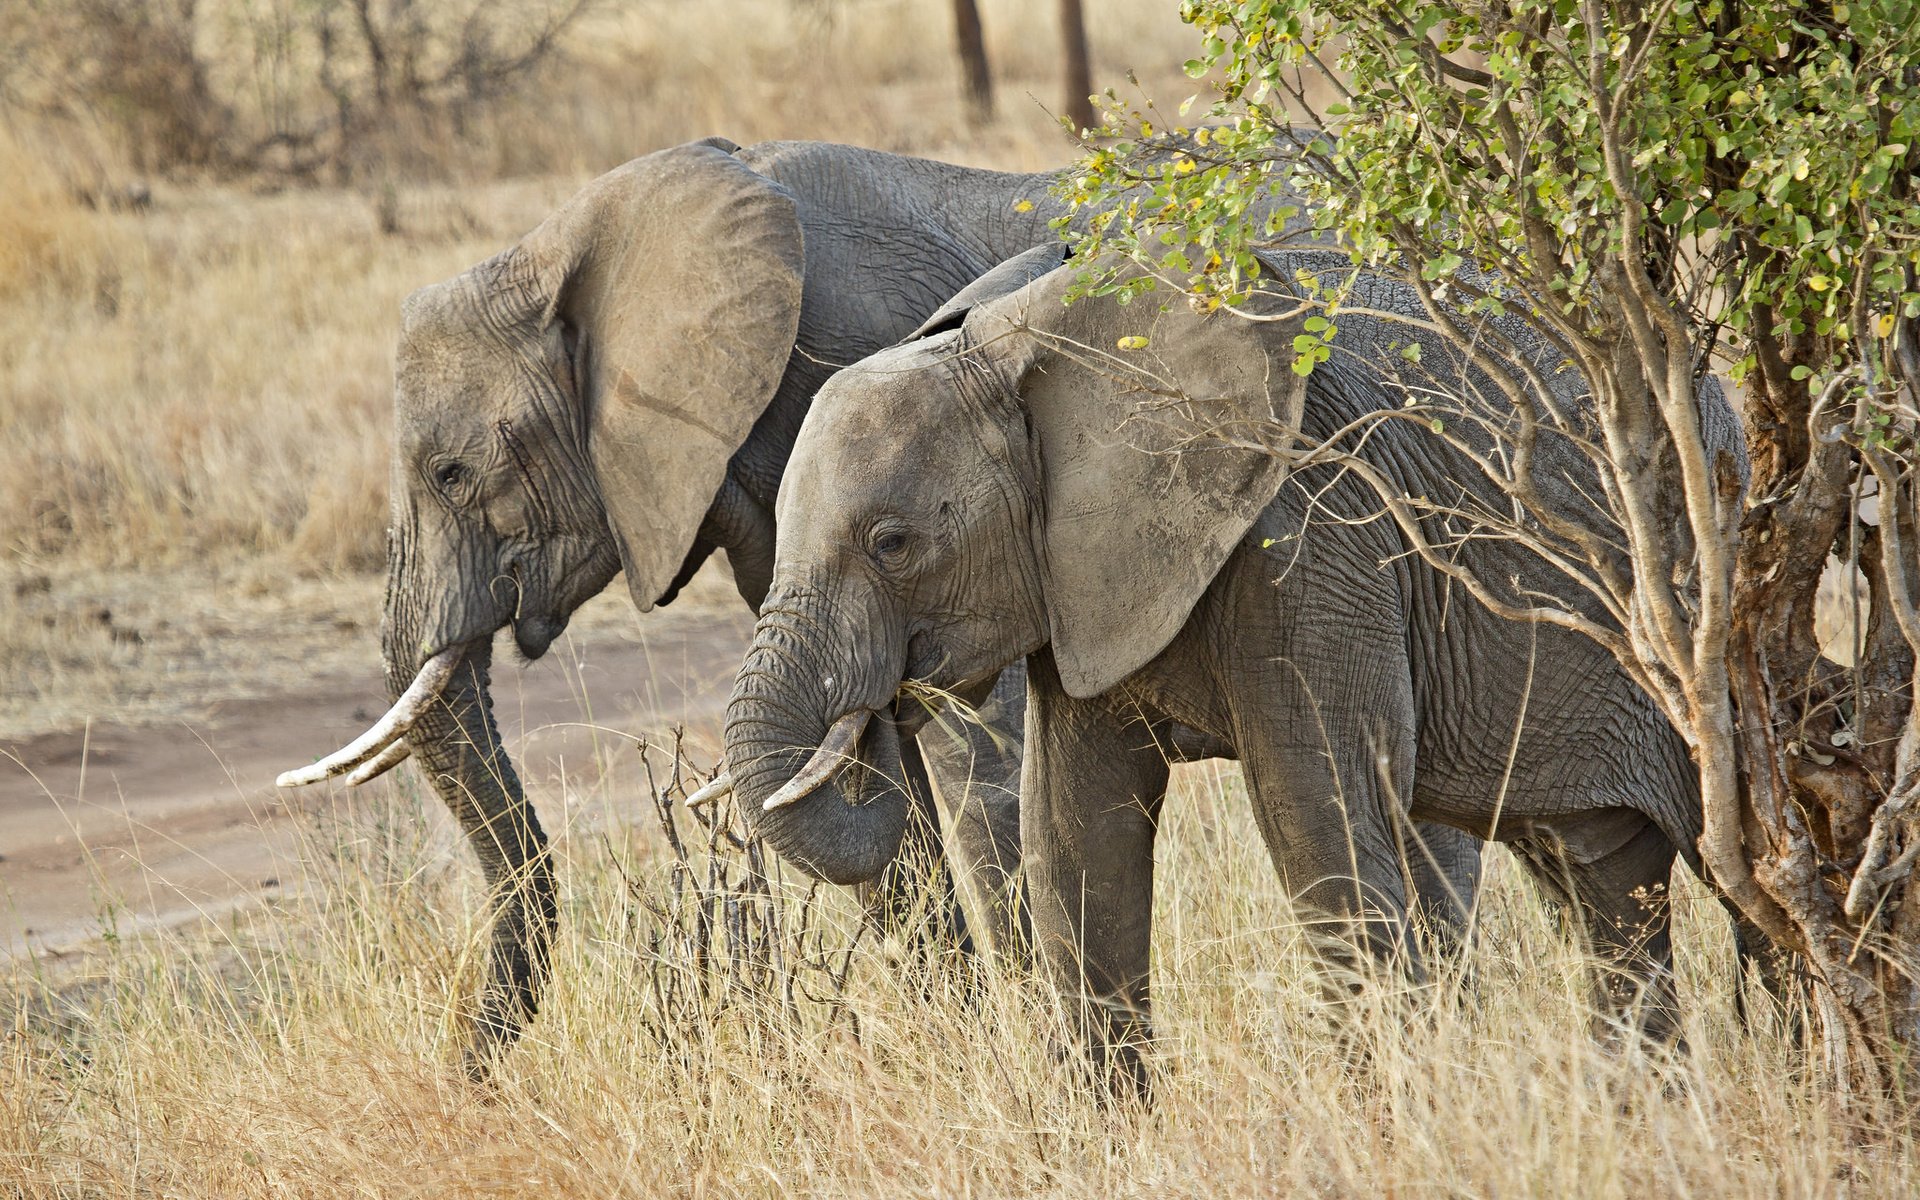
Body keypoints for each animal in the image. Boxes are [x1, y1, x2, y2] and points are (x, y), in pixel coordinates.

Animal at [721, 247, 1758, 1090]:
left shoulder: (1317, 539)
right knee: (1604, 891)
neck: (1023, 342)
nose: (876, 709)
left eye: (892, 543)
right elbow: (1076, 840)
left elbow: (1317, 823)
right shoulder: (1084, 581)